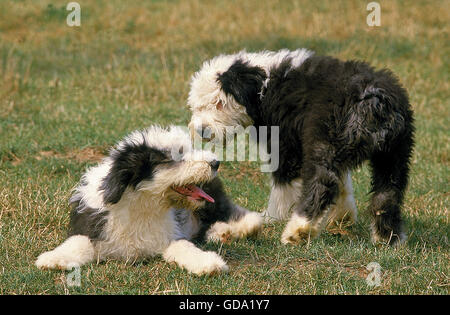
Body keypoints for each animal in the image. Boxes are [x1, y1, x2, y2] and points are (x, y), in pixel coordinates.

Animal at [37, 126, 262, 276]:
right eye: (176, 155)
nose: (216, 163)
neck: (144, 203)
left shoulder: (171, 234)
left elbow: (184, 247)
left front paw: (208, 263)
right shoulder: (92, 225)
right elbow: (77, 242)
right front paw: (51, 259)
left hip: (211, 199)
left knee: (231, 212)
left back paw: (242, 227)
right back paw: (221, 233)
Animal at [187, 49, 414, 247]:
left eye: (219, 103)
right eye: (197, 106)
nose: (201, 130)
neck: (264, 88)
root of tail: (374, 99)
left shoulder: (285, 146)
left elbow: (283, 185)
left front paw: (272, 217)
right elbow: (343, 183)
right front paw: (343, 216)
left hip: (327, 142)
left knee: (322, 183)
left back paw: (297, 230)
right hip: (394, 154)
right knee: (387, 194)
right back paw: (387, 238)